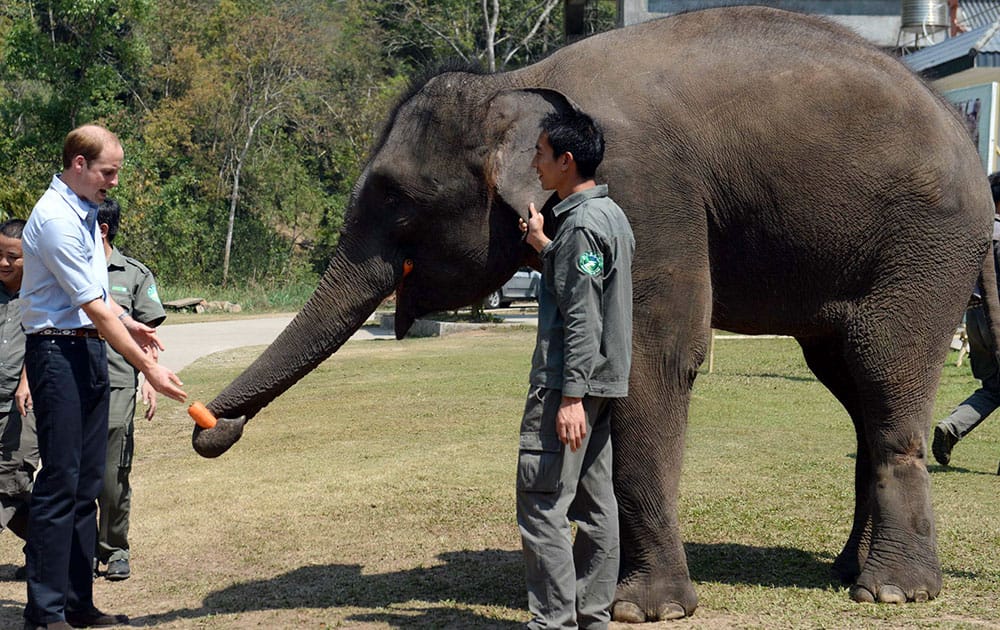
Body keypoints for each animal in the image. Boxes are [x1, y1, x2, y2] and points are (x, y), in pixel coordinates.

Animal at [191, 4, 996, 624]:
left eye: (394, 196)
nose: (209, 429)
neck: (517, 85)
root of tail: (964, 138)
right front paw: (591, 586)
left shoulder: (646, 191)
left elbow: (654, 357)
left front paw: (646, 610)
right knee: (850, 383)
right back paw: (845, 571)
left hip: (923, 249)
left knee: (883, 377)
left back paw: (892, 594)